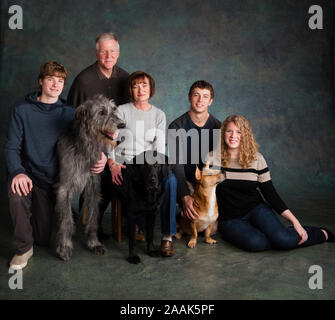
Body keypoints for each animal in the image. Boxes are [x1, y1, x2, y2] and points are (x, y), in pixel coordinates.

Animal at [55, 94, 125, 260]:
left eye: (113, 109)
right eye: (101, 113)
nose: (122, 125)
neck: (85, 145)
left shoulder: (93, 184)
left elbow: (93, 216)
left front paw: (94, 243)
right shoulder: (64, 187)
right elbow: (66, 220)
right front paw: (64, 246)